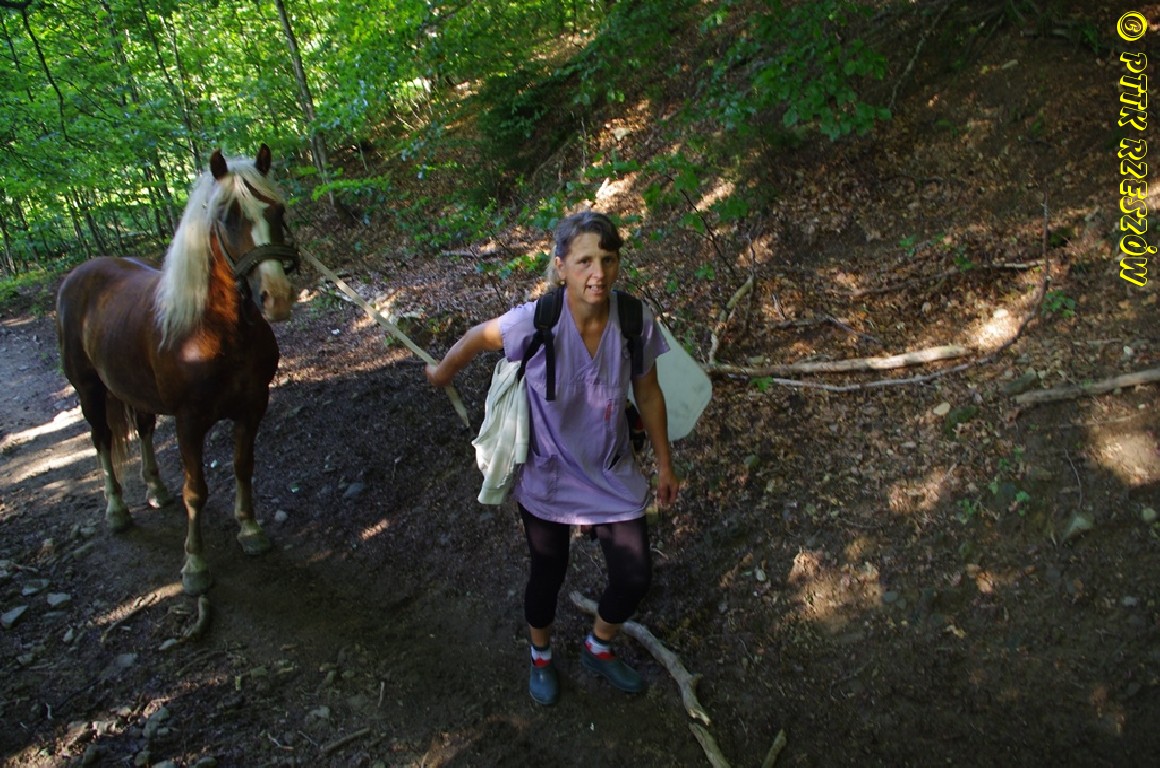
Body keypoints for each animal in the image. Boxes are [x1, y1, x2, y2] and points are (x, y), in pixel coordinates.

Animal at [55, 144, 300, 595]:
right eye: (228, 217)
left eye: (277, 211)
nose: (276, 297)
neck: (217, 329)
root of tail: (79, 274)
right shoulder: (189, 422)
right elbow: (196, 491)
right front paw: (195, 565)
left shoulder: (252, 407)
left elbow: (243, 467)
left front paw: (250, 531)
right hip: (89, 390)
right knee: (101, 440)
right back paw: (116, 510)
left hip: (133, 388)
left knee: (144, 428)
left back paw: (154, 488)